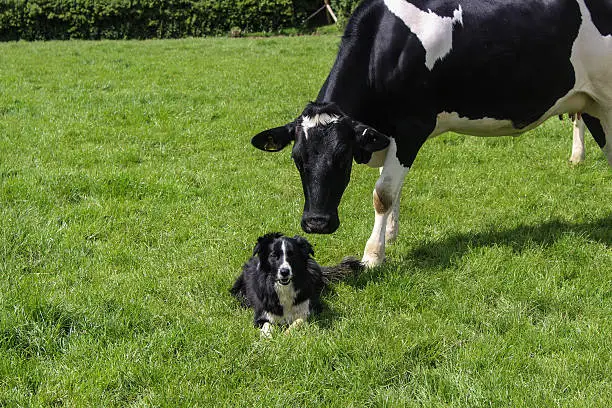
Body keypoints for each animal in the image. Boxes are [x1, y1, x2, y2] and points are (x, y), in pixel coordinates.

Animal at [232, 231, 360, 336]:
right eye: (273, 255)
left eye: (292, 254)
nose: (284, 272)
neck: (284, 288)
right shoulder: (262, 314)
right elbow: (267, 325)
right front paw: (267, 339)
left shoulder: (311, 308)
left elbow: (299, 321)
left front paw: (286, 335)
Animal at [250, 0, 612, 268]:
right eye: (297, 159)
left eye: (342, 158)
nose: (316, 224)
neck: (384, 47)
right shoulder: (386, 134)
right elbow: (391, 186)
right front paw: (391, 235)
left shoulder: (412, 127)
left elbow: (383, 193)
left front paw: (373, 255)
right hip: (593, 106)